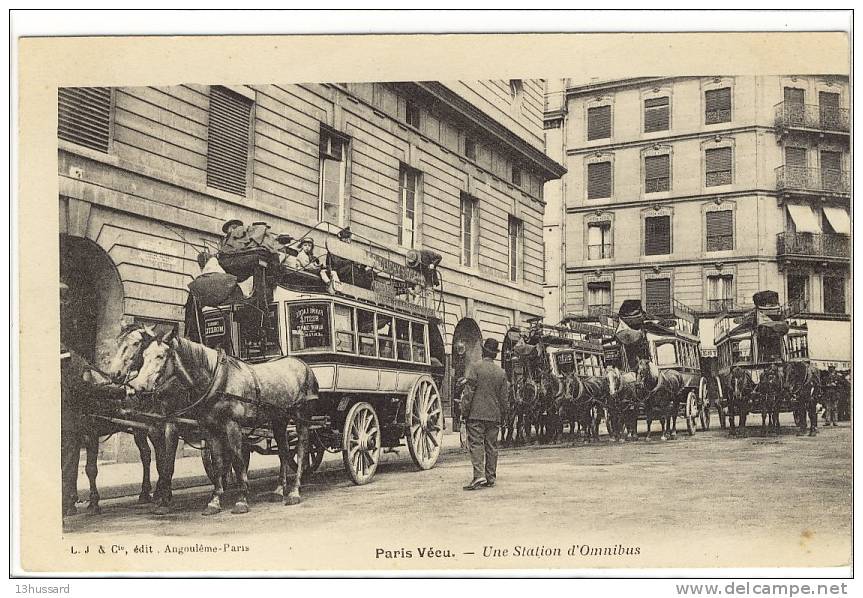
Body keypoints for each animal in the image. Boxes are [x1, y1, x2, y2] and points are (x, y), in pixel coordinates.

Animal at [126, 332, 318, 516]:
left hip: (301, 416)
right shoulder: (211, 429)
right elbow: (218, 462)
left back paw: (295, 491)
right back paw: (279, 490)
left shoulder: (232, 426)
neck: (218, 380)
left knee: (302, 449)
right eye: (144, 355)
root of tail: (301, 363)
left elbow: (238, 461)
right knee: (284, 451)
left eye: (160, 356)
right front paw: (214, 501)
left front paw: (241, 500)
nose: (137, 387)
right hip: (279, 419)